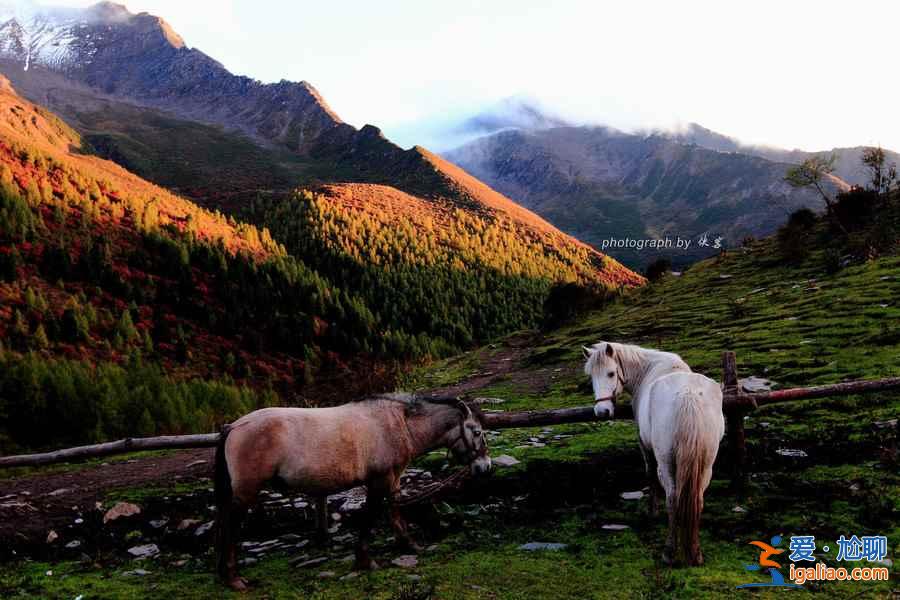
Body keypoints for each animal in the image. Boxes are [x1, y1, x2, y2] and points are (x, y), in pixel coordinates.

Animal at [213, 394, 492, 592]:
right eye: (477, 432)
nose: (485, 467)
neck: (399, 424)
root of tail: (234, 426)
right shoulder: (379, 480)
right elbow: (370, 516)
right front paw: (365, 560)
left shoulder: (393, 479)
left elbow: (394, 511)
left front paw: (409, 544)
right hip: (246, 492)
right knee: (230, 527)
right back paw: (234, 579)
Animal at [584, 340, 724, 564]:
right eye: (591, 376)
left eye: (611, 373)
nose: (602, 412)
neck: (649, 369)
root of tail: (689, 396)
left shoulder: (644, 445)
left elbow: (650, 474)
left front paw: (652, 511)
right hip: (706, 464)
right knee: (698, 499)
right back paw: (695, 553)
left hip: (667, 463)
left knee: (673, 499)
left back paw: (669, 552)